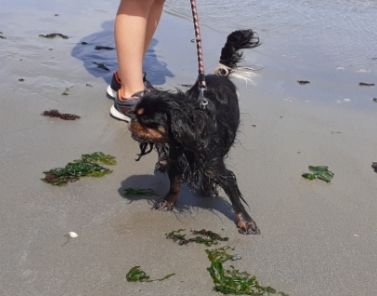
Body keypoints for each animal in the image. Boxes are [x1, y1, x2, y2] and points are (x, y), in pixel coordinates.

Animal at [128, 28, 260, 235]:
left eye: (147, 122)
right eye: (135, 115)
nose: (132, 122)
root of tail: (220, 75)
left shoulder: (213, 163)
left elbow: (233, 193)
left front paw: (245, 221)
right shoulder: (177, 159)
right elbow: (175, 184)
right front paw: (168, 202)